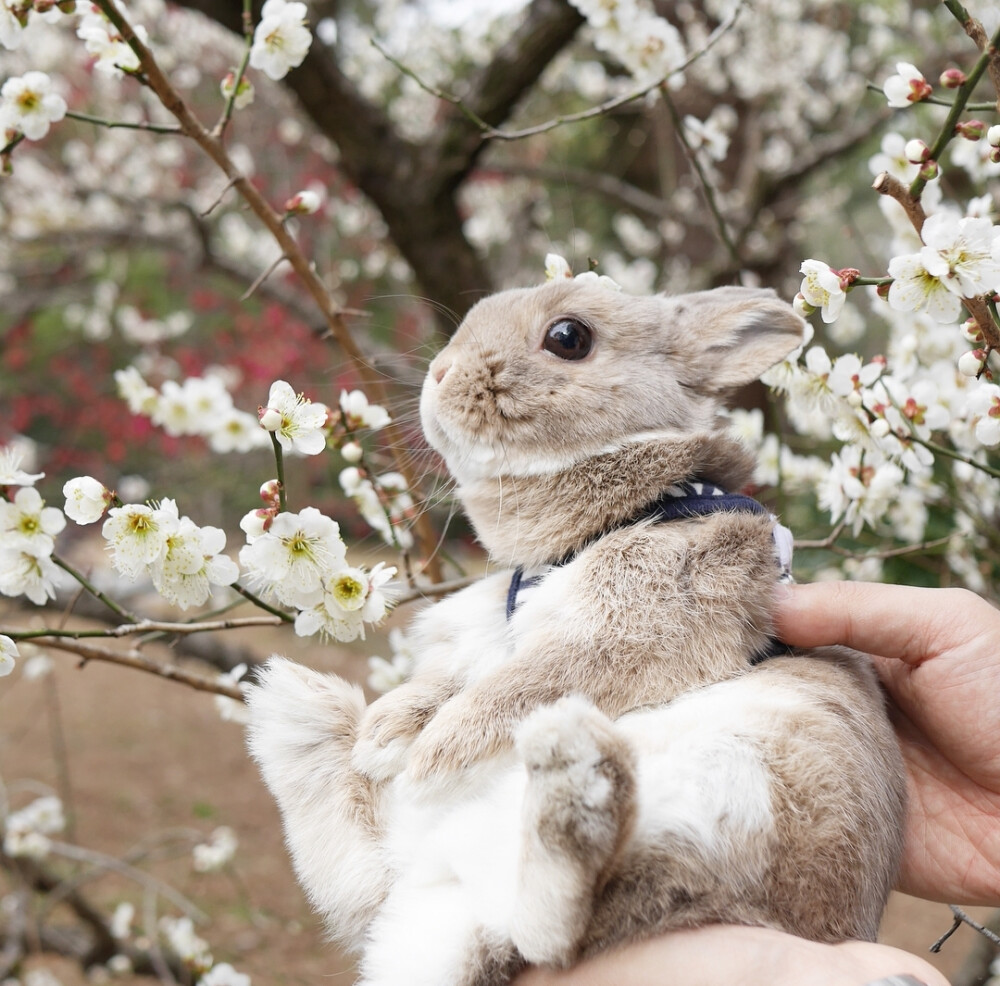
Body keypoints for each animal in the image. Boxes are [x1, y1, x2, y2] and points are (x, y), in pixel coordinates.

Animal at [246, 274, 912, 984]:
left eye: (569, 338)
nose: (441, 372)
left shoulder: (629, 622)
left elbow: (520, 686)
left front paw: (433, 756)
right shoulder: (490, 635)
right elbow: (456, 679)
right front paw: (386, 736)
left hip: (736, 814)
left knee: (566, 924)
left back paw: (573, 780)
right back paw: (297, 711)